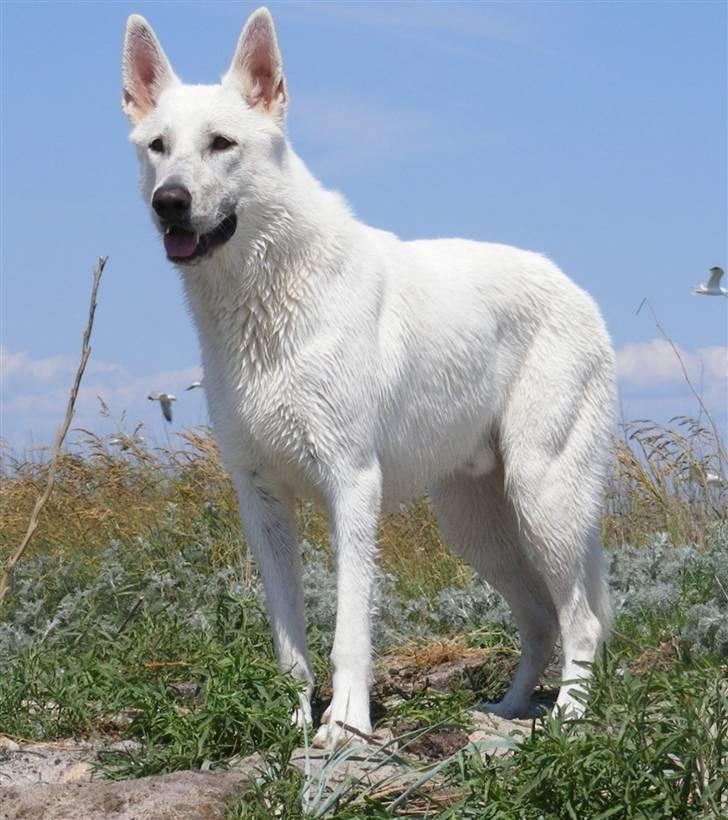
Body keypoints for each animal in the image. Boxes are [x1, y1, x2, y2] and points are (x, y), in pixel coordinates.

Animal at [123, 8, 616, 748]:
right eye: (158, 146)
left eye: (220, 143)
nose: (169, 202)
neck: (267, 299)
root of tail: (577, 290)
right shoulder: (261, 503)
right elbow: (290, 641)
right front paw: (294, 720)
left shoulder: (352, 486)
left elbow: (350, 628)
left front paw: (346, 724)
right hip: (476, 529)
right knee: (539, 621)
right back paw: (507, 707)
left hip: (544, 498)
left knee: (580, 619)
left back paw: (570, 718)